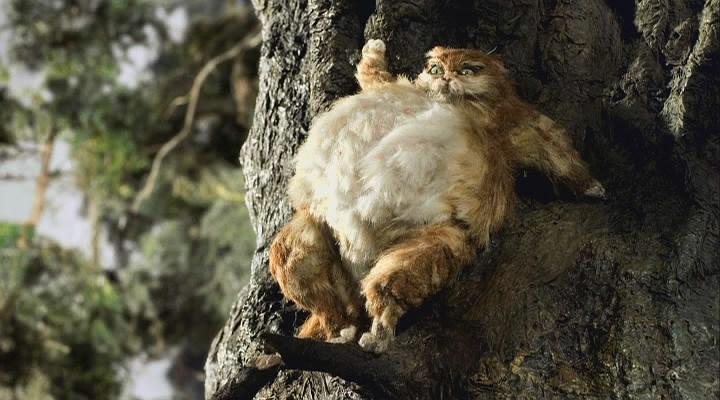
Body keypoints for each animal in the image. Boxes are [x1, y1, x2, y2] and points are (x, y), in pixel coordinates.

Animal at [269, 39, 604, 352]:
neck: (459, 104)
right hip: (305, 240)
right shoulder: (387, 84)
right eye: (434, 68)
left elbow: (557, 151)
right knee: (320, 294)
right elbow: (371, 72)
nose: (444, 77)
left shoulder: (518, 127)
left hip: (436, 242)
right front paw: (375, 48)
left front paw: (593, 188)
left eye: (468, 71)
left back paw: (378, 333)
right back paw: (342, 331)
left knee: (387, 287)